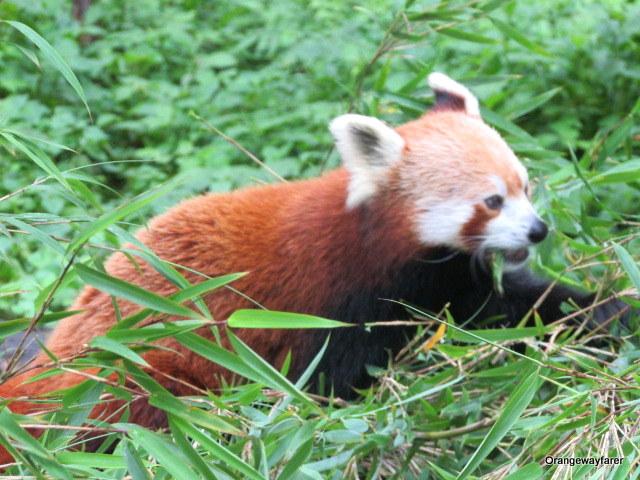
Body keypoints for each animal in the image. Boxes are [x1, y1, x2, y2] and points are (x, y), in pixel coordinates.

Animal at [0, 74, 632, 464]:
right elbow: (331, 379)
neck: (378, 244)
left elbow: (519, 305)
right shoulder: (337, 300)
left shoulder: (447, 285)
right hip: (139, 368)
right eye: (491, 202)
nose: (538, 231)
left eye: (525, 186)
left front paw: (610, 314)